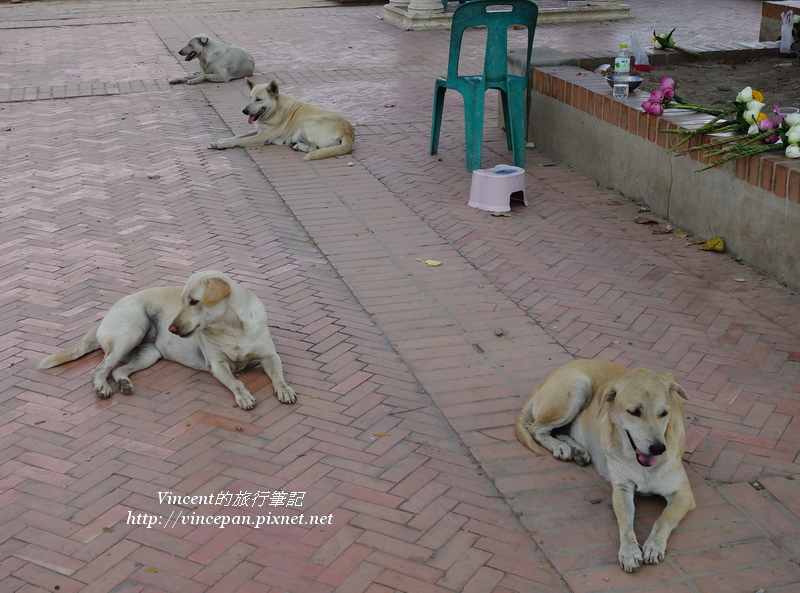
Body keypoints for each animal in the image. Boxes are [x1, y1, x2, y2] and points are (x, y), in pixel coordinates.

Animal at [39, 270, 296, 410]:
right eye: (182, 301)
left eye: (194, 301)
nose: (171, 328)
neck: (232, 327)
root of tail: (105, 316)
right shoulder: (218, 365)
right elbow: (236, 382)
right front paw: (243, 396)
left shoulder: (270, 356)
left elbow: (278, 377)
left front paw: (285, 390)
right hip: (131, 333)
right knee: (100, 369)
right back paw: (102, 387)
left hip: (148, 354)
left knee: (118, 370)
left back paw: (124, 384)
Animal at [211, 80, 354, 162]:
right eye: (249, 98)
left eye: (259, 99)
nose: (244, 111)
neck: (275, 109)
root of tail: (348, 133)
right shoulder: (258, 131)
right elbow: (237, 136)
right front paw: (220, 141)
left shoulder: (261, 137)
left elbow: (239, 140)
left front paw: (223, 145)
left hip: (308, 122)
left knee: (314, 148)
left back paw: (298, 146)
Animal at [520, 358, 692, 572]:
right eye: (634, 412)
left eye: (664, 413)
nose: (658, 448)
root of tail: (545, 381)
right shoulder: (622, 488)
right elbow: (625, 522)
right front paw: (629, 551)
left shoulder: (683, 494)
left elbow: (664, 519)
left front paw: (653, 545)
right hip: (578, 386)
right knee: (536, 429)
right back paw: (560, 447)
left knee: (557, 430)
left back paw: (578, 450)